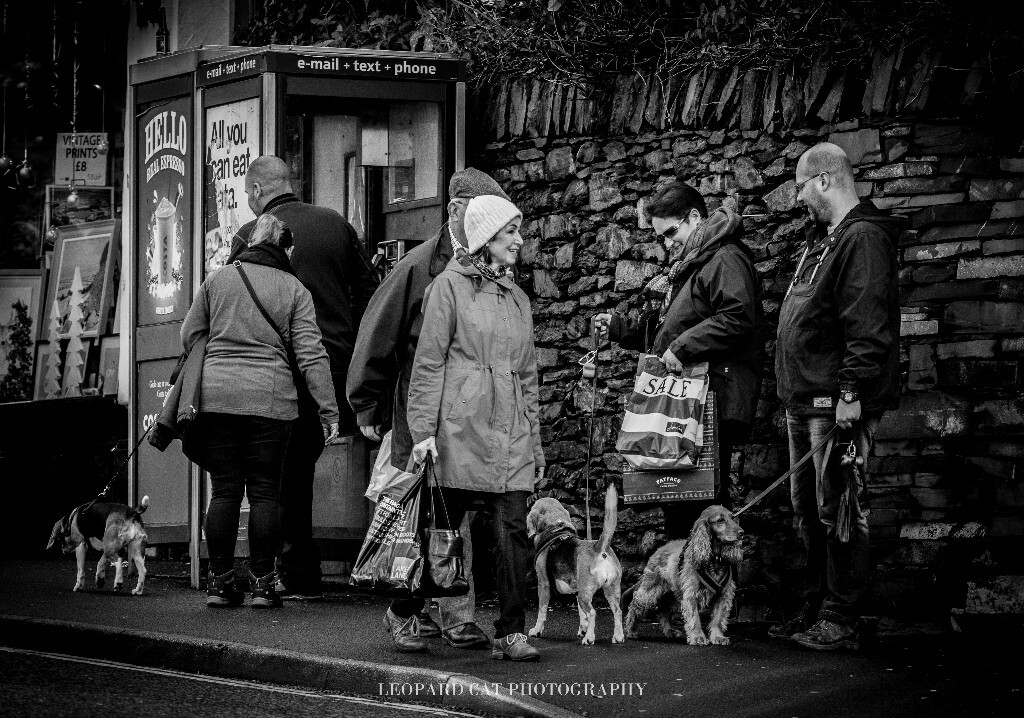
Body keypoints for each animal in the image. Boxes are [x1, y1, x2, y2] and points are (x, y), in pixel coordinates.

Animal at [528, 481, 622, 643]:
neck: (556, 528)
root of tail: (599, 548)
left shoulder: (543, 583)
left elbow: (541, 611)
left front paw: (536, 630)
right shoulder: (578, 588)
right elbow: (581, 613)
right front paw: (583, 628)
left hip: (586, 593)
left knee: (592, 612)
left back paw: (589, 639)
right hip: (610, 589)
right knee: (617, 611)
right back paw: (618, 636)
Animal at [622, 503, 745, 643]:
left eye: (732, 517)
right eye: (720, 520)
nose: (742, 532)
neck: (714, 560)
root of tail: (659, 549)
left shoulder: (723, 594)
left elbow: (718, 619)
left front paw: (718, 637)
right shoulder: (691, 593)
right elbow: (694, 618)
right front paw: (698, 637)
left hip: (672, 593)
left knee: (663, 611)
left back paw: (669, 631)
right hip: (650, 591)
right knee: (634, 605)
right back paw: (631, 631)